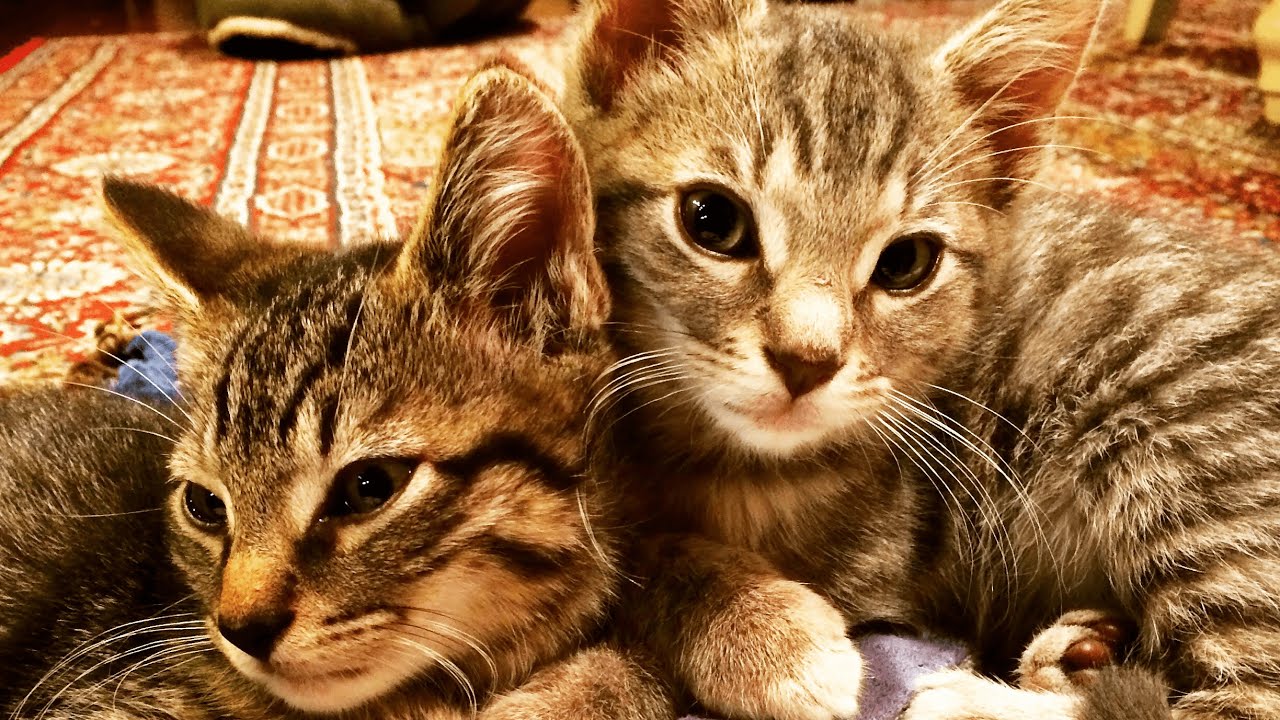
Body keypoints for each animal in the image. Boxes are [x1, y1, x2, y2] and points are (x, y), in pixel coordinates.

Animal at [568, 0, 1280, 712]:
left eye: (906, 262)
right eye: (712, 219)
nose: (808, 360)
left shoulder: (877, 555)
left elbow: (633, 558)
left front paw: (765, 633)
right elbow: (620, 551)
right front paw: (759, 624)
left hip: (1190, 470)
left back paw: (967, 700)